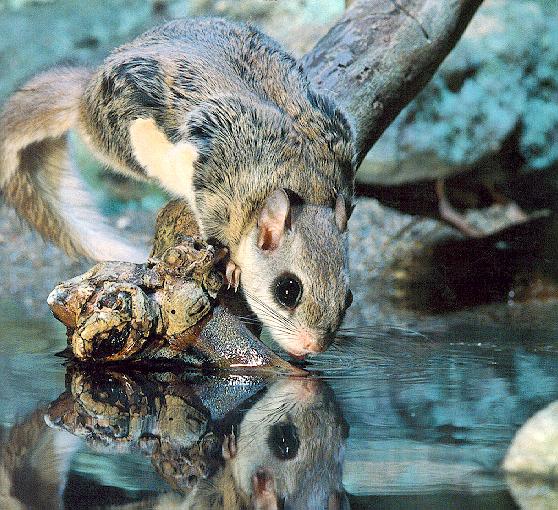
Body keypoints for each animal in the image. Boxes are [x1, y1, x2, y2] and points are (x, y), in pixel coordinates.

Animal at [0, 16, 356, 358]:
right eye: (288, 290)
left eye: (349, 297)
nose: (313, 348)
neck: (303, 182)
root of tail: (84, 94)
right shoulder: (214, 189)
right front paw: (231, 265)